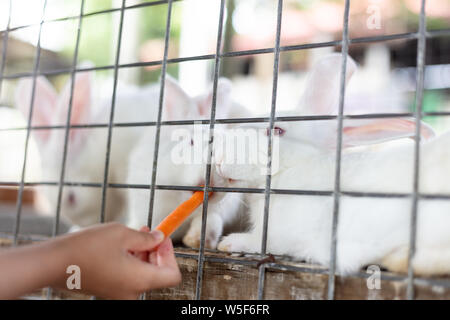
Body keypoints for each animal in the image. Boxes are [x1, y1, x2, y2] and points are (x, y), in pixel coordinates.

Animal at [213, 53, 450, 276]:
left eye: (277, 130)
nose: (219, 159)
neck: (293, 169)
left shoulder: (286, 235)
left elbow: (265, 244)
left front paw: (229, 242)